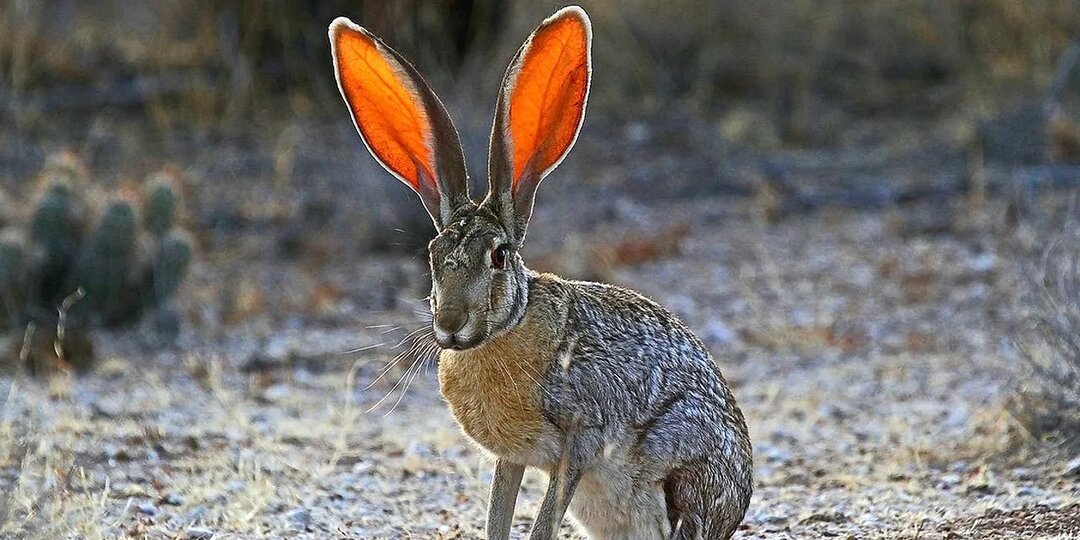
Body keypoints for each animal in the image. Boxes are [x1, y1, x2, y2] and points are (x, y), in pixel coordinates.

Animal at [329, 6, 752, 539]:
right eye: (432, 253)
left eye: (499, 256)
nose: (449, 324)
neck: (505, 330)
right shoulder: (511, 457)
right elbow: (499, 514)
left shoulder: (583, 436)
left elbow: (543, 521)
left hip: (683, 470)